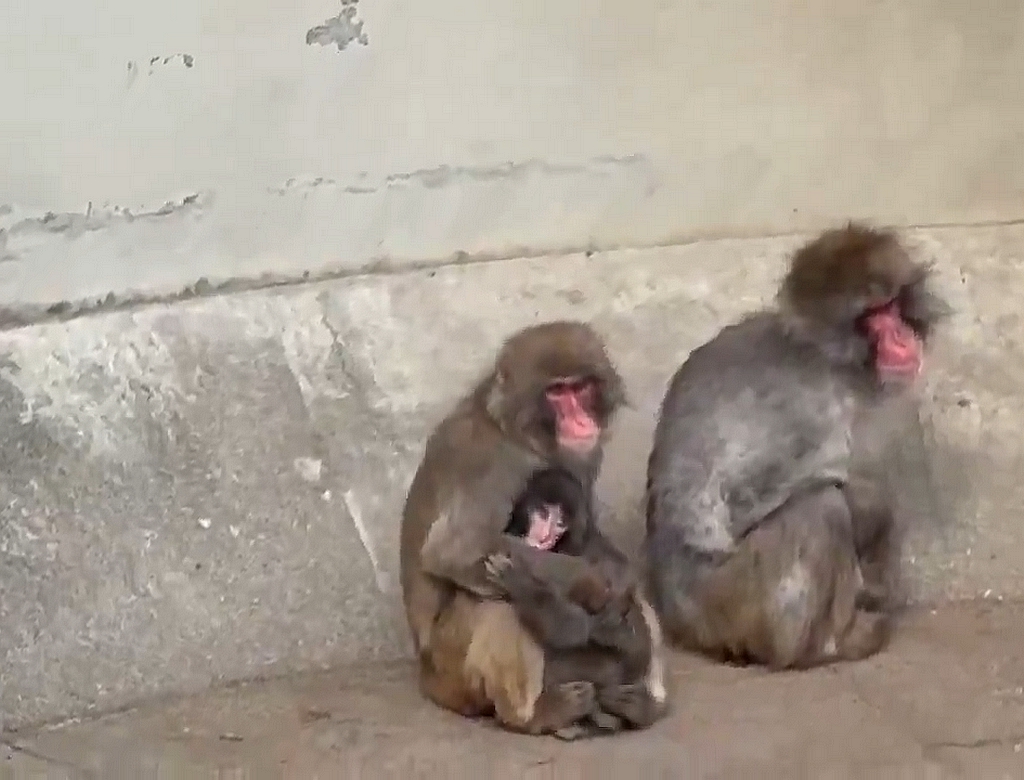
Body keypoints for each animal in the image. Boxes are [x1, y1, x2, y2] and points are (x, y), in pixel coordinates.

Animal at [400, 321, 669, 740]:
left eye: (581, 387)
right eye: (556, 392)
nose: (581, 422)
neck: (518, 434)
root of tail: (427, 678)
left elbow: (589, 535)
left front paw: (618, 579)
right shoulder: (491, 466)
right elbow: (456, 550)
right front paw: (593, 580)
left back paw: (641, 704)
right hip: (452, 671)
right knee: (494, 601)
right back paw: (534, 716)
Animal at [644, 223, 949, 670]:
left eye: (893, 307)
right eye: (872, 317)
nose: (902, 337)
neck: (828, 360)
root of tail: (679, 621)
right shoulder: (809, 409)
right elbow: (732, 502)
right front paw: (873, 517)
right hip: (733, 602)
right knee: (821, 507)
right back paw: (821, 647)